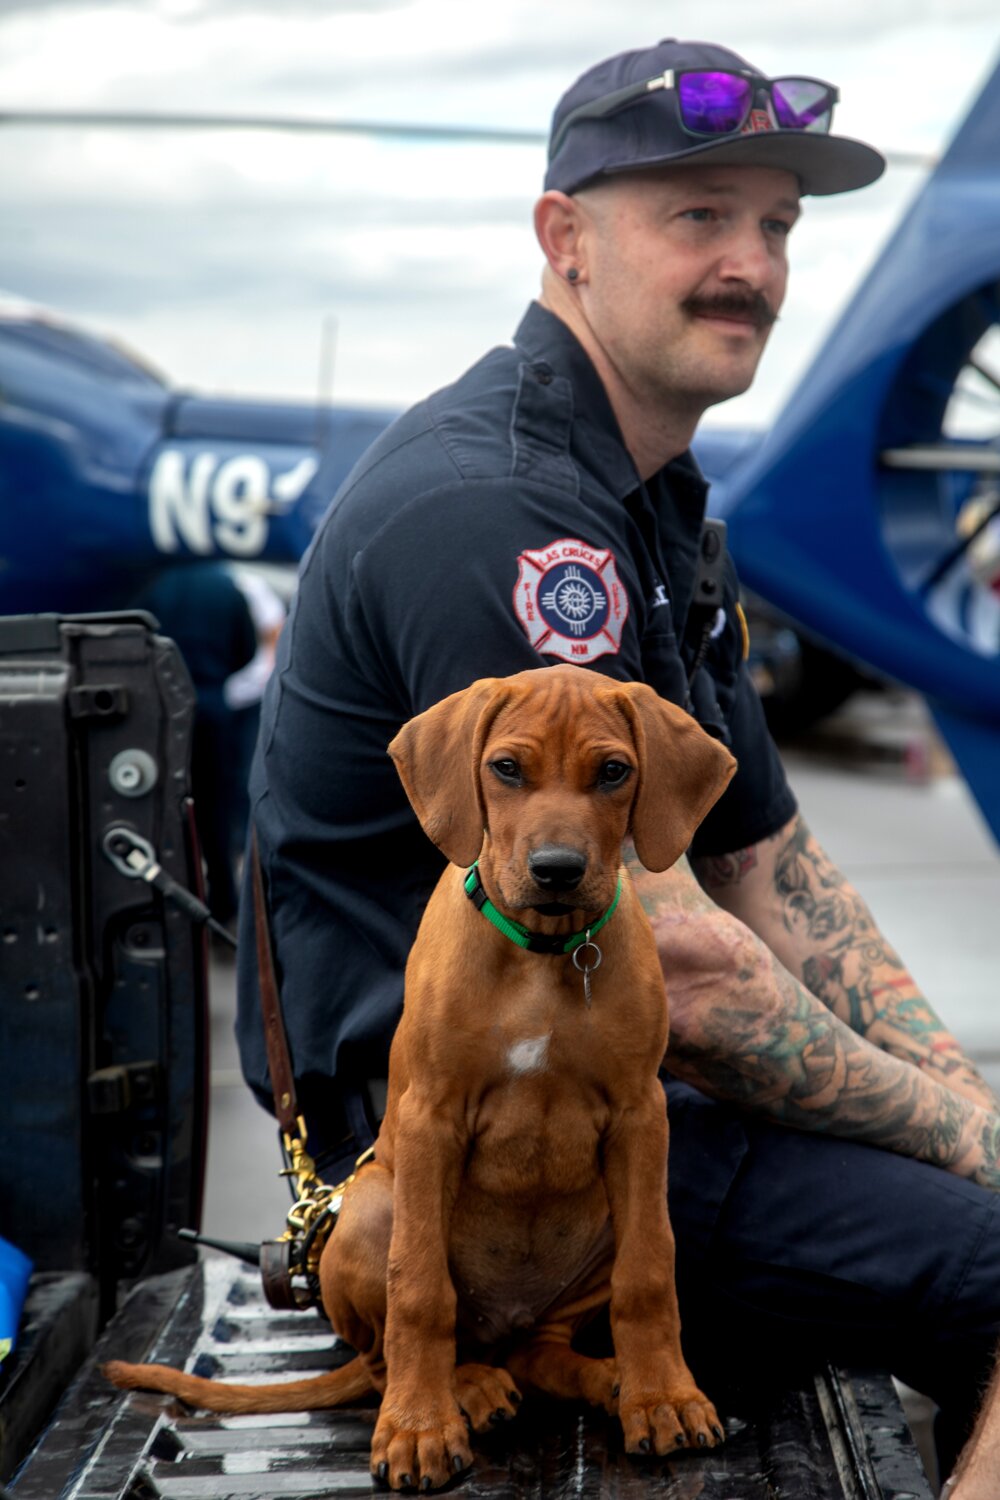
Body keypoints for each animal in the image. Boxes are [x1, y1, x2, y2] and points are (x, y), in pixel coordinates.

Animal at [107, 675, 734, 1494]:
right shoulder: (431, 1118)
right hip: (371, 1210)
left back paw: (602, 1378)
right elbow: (419, 1291)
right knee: (386, 1354)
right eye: (506, 769)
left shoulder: (640, 1116)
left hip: (596, 1228)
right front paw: (416, 1429)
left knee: (542, 1349)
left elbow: (650, 1271)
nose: (557, 869)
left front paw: (663, 1396)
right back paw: (463, 1388)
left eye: (613, 772)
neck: (542, 952)